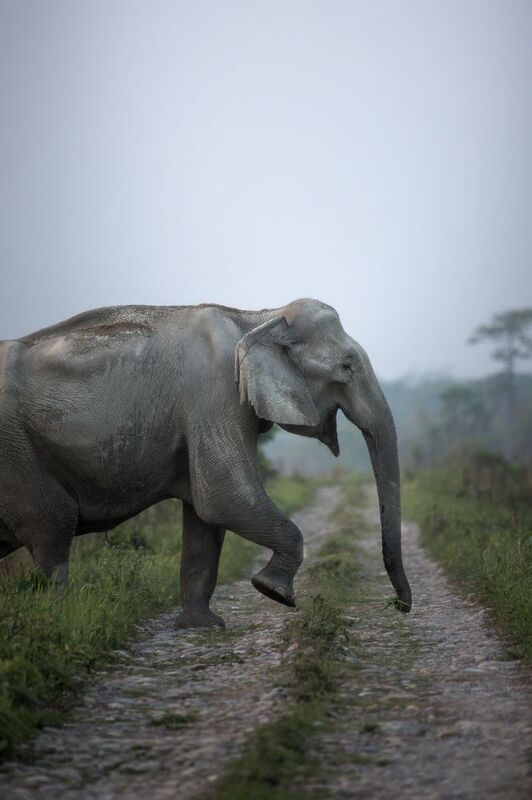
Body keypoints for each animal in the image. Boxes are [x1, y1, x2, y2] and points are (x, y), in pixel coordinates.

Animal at [0, 298, 411, 627]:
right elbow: (223, 498)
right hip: (18, 456)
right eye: (346, 367)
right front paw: (273, 592)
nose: (398, 606)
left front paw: (203, 627)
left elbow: (205, 516)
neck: (259, 317)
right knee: (54, 525)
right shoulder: (215, 394)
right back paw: (55, 621)